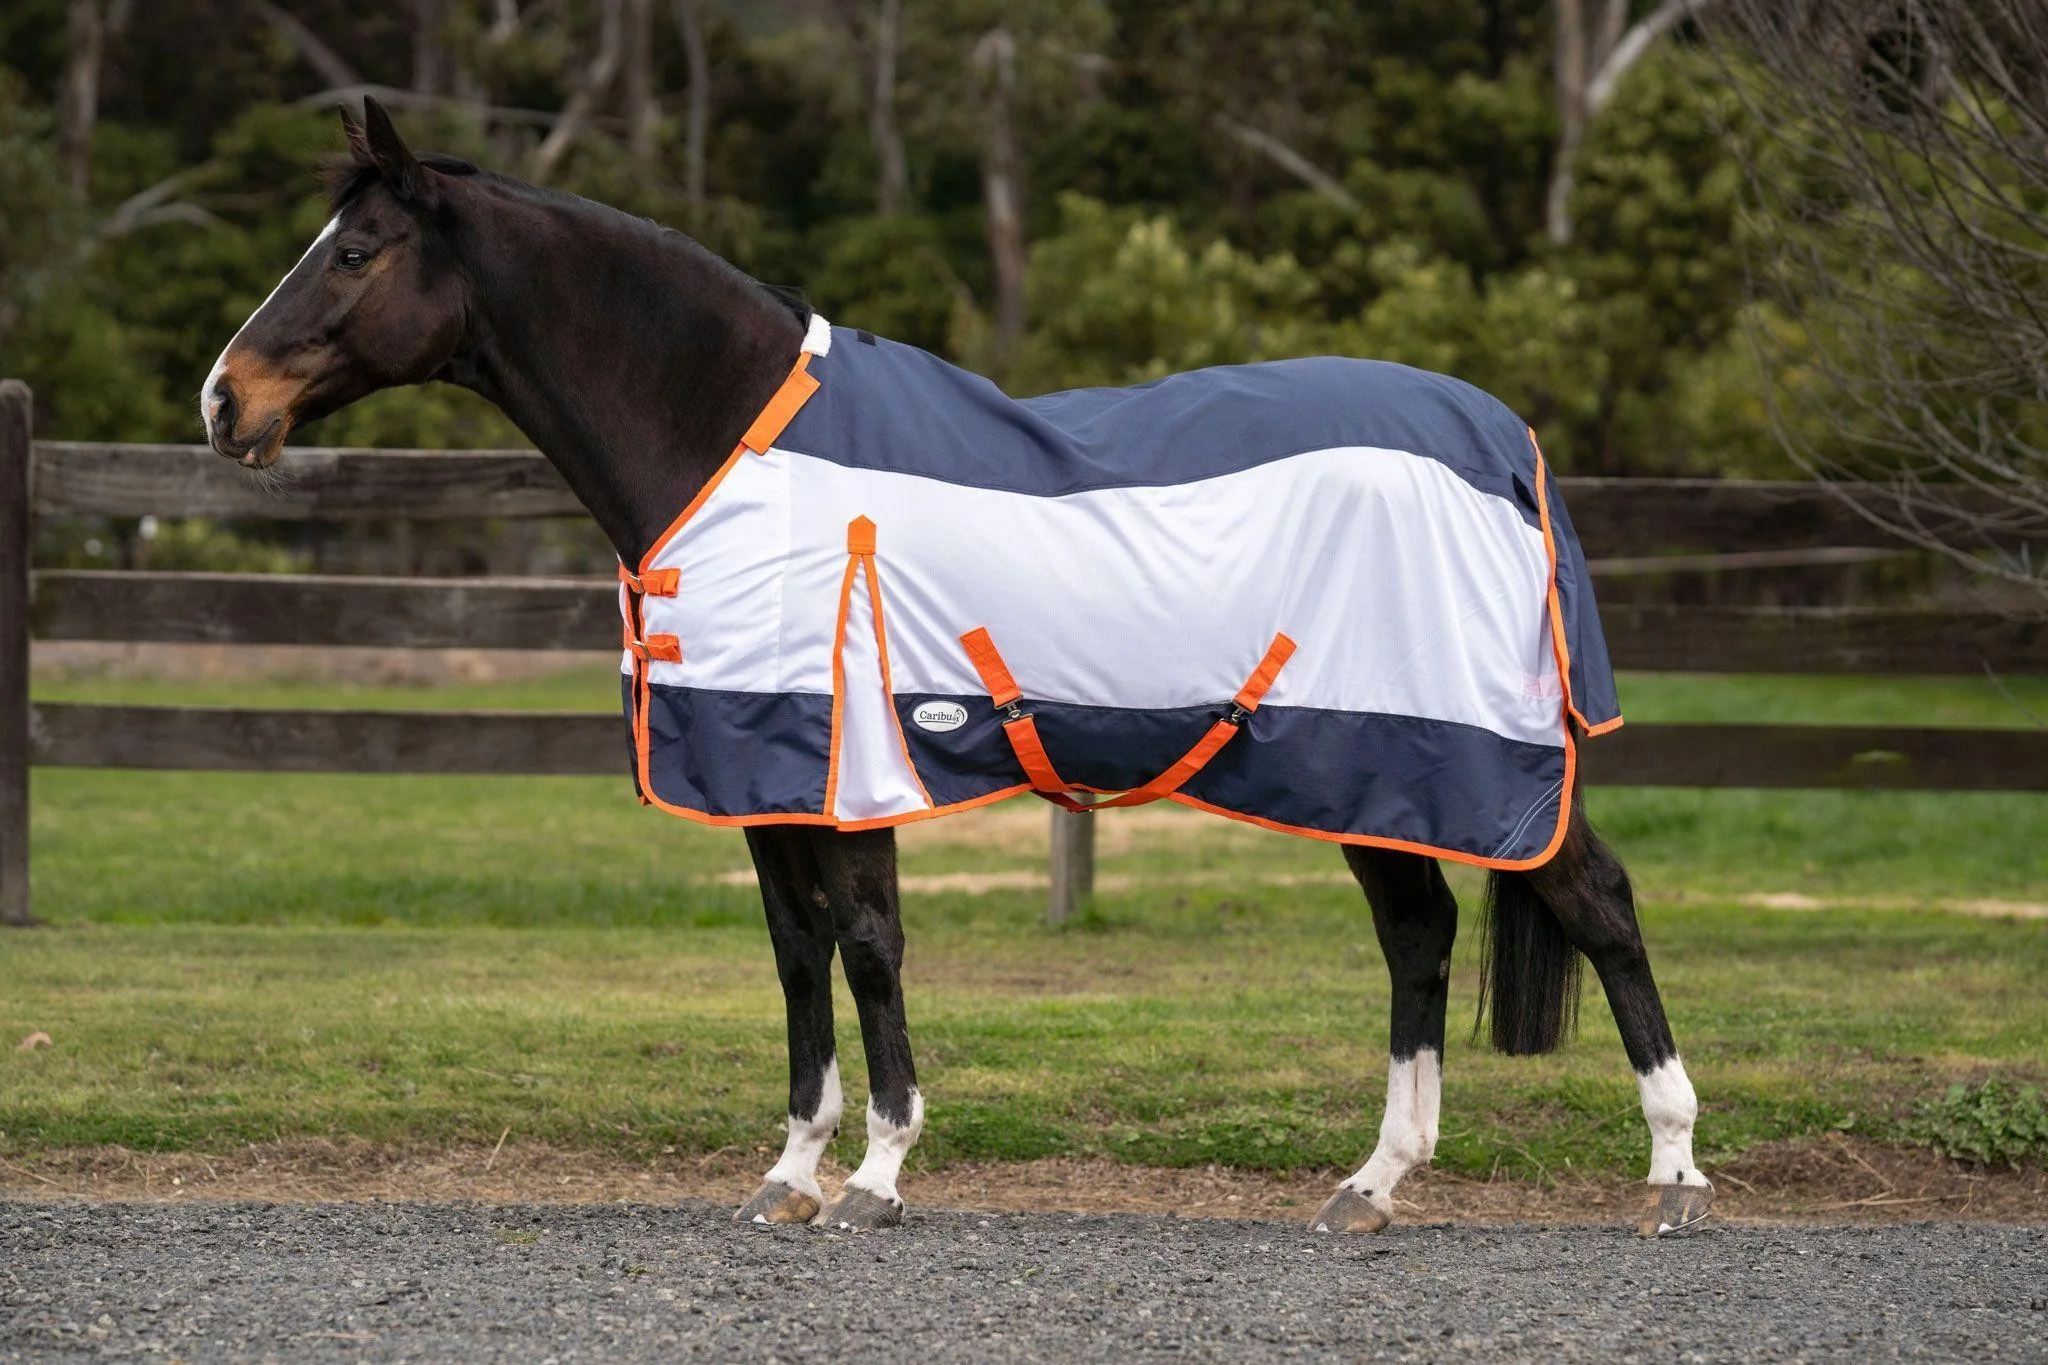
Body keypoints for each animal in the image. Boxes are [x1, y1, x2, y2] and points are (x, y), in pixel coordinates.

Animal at [201, 97, 1712, 1237]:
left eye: (358, 250)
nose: (225, 401)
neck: (732, 442)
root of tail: (1503, 444)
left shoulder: (852, 760)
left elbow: (869, 946)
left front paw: (876, 1173)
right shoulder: (765, 774)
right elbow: (796, 956)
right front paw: (790, 1173)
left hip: (1450, 753)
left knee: (1594, 900)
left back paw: (1672, 1170)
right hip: (1364, 762)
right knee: (1418, 936)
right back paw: (1374, 1183)